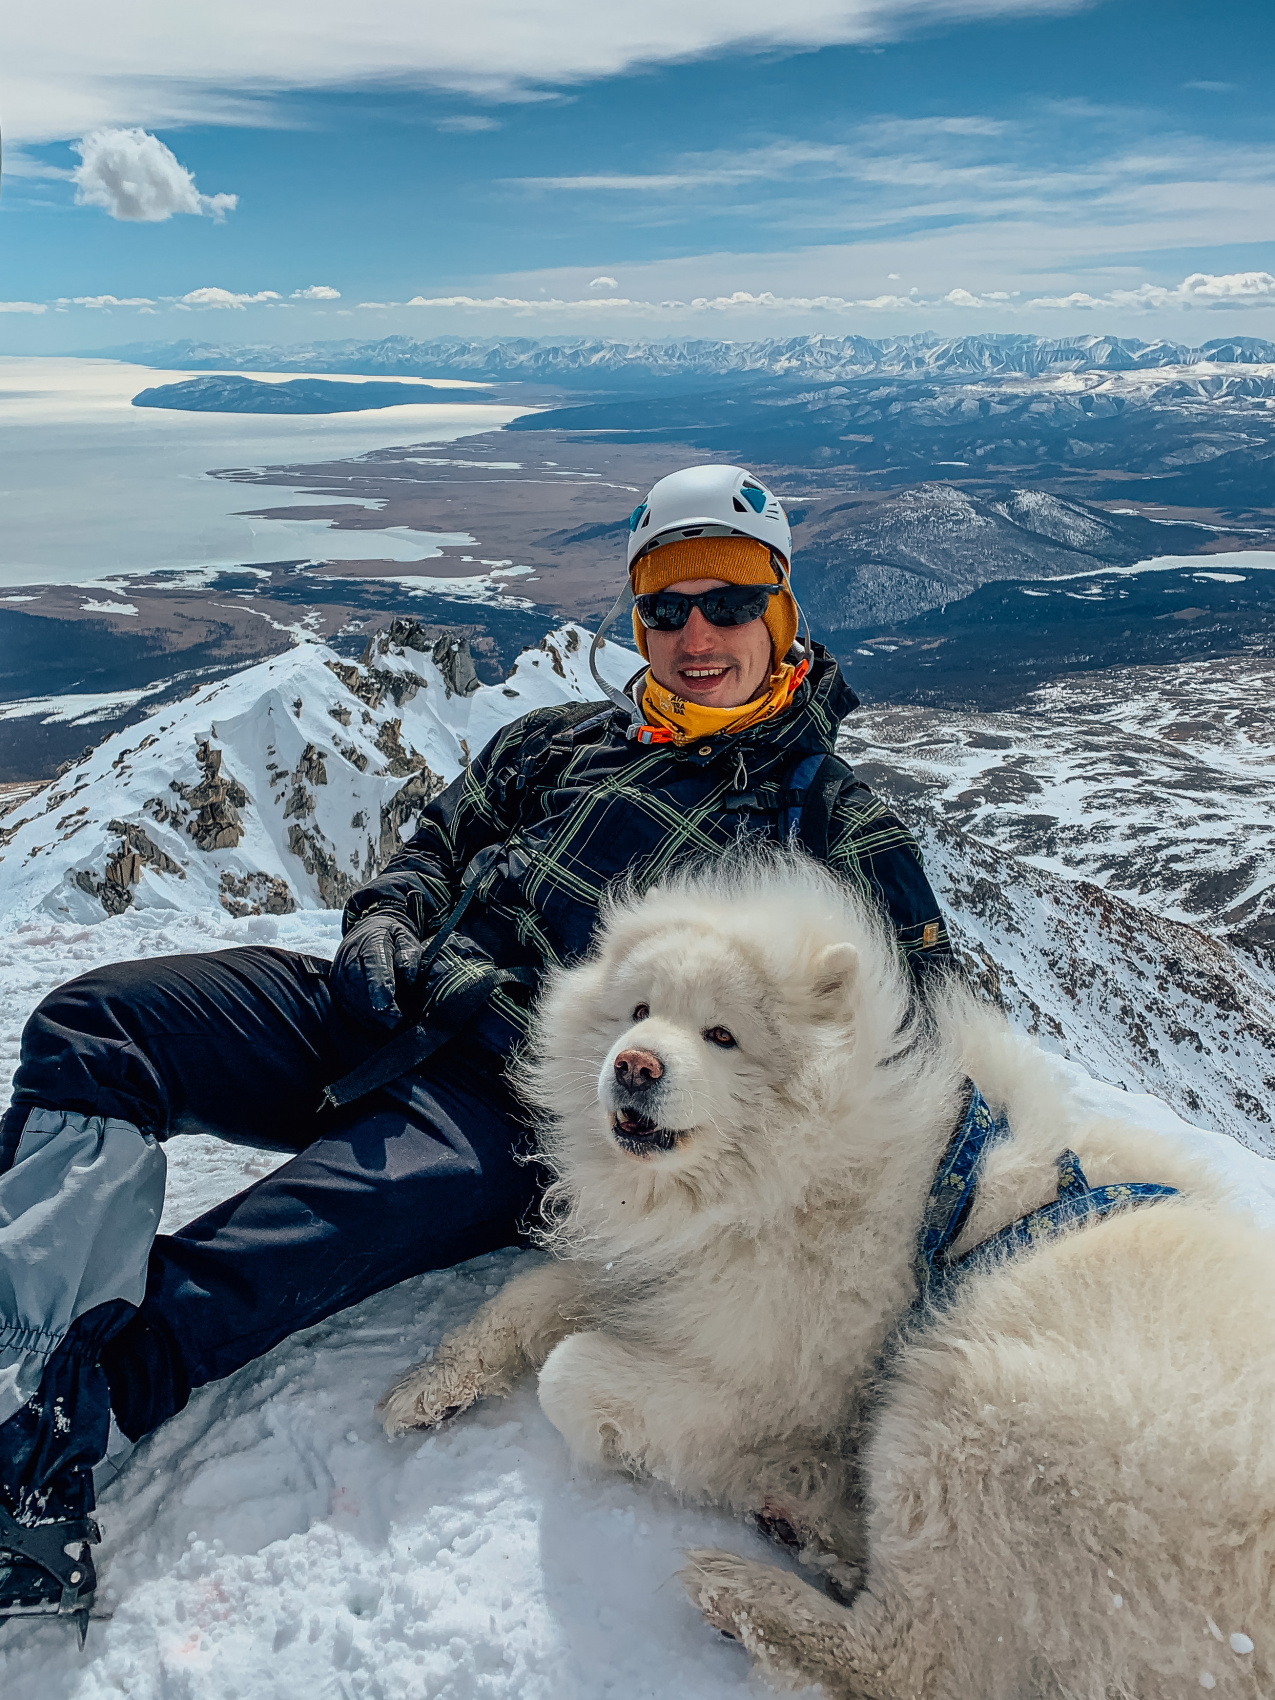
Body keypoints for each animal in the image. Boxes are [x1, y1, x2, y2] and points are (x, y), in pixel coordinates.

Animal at [379, 863, 1275, 1700]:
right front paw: (432, 1383)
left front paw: (738, 1458)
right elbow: (528, 1296)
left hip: (970, 1394)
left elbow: (570, 1374)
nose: (633, 1065)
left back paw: (757, 1579)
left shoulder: (771, 1371)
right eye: (636, 1012)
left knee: (916, 1662)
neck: (786, 1177)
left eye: (721, 1035)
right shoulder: (671, 1277)